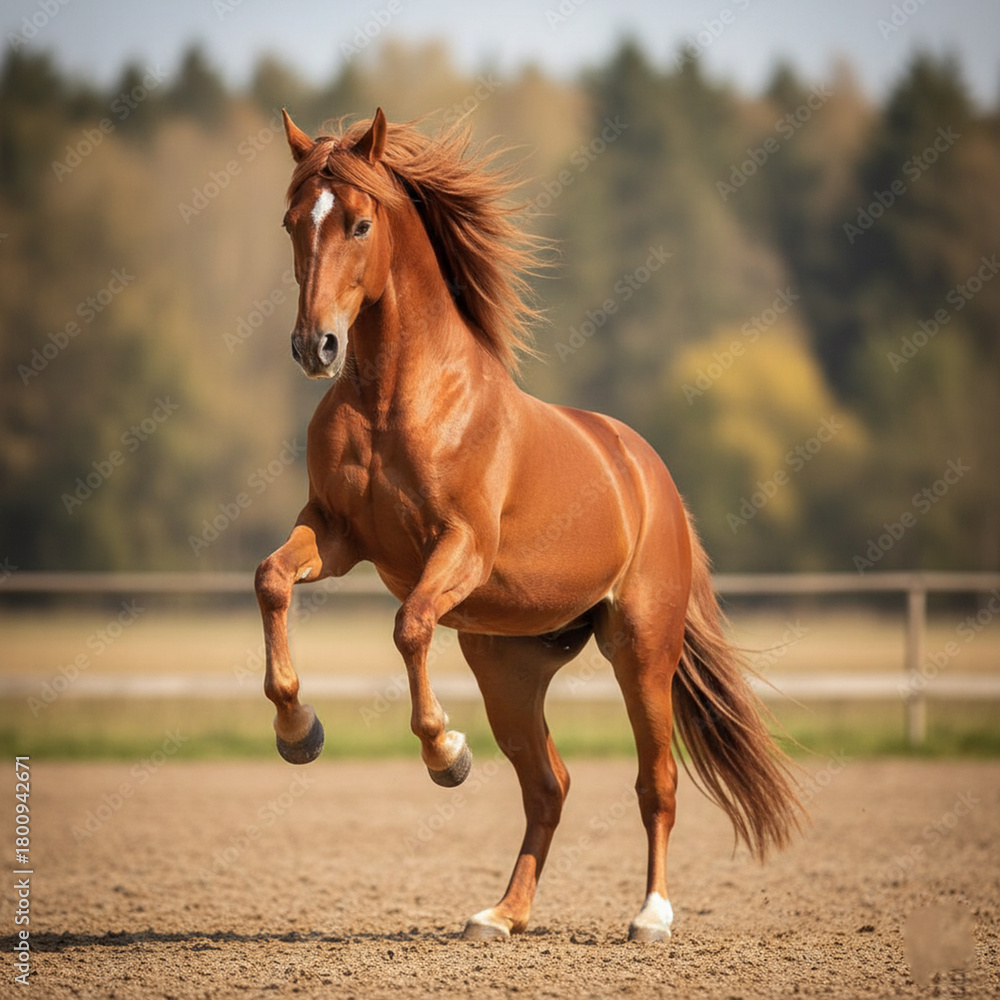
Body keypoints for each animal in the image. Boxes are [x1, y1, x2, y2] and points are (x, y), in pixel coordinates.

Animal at [254, 107, 802, 943]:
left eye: (358, 222)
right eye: (291, 222)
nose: (315, 347)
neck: (395, 399)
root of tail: (650, 475)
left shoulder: (461, 548)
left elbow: (410, 626)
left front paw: (446, 752)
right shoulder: (337, 534)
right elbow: (273, 580)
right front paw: (298, 732)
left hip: (641, 649)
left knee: (656, 780)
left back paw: (651, 916)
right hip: (508, 666)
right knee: (550, 784)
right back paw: (502, 915)